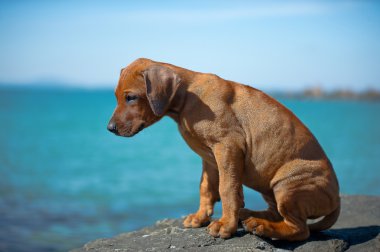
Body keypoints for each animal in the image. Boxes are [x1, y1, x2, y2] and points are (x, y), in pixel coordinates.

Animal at [107, 58, 342, 241]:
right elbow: (206, 188)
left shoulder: (227, 147)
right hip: (270, 186)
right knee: (278, 214)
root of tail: (337, 199)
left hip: (288, 184)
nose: (110, 129)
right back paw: (249, 215)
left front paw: (225, 225)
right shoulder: (210, 158)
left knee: (300, 229)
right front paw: (201, 217)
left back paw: (261, 226)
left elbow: (227, 189)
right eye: (116, 96)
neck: (186, 99)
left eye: (131, 97)